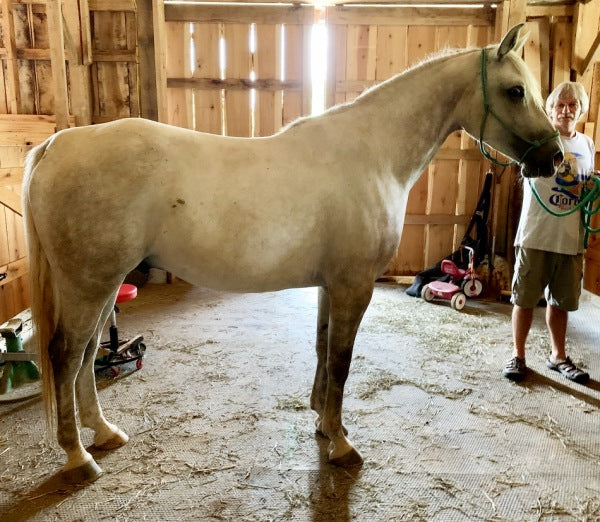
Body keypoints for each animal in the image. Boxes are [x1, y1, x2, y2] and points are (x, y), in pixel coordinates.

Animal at [23, 23, 564, 480]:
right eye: (515, 90)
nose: (553, 157)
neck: (373, 156)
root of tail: (57, 144)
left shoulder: (331, 286)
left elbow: (324, 351)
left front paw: (324, 424)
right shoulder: (354, 286)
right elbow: (342, 361)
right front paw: (341, 445)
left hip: (104, 284)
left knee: (87, 355)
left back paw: (103, 433)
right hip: (90, 284)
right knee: (67, 356)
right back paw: (78, 456)